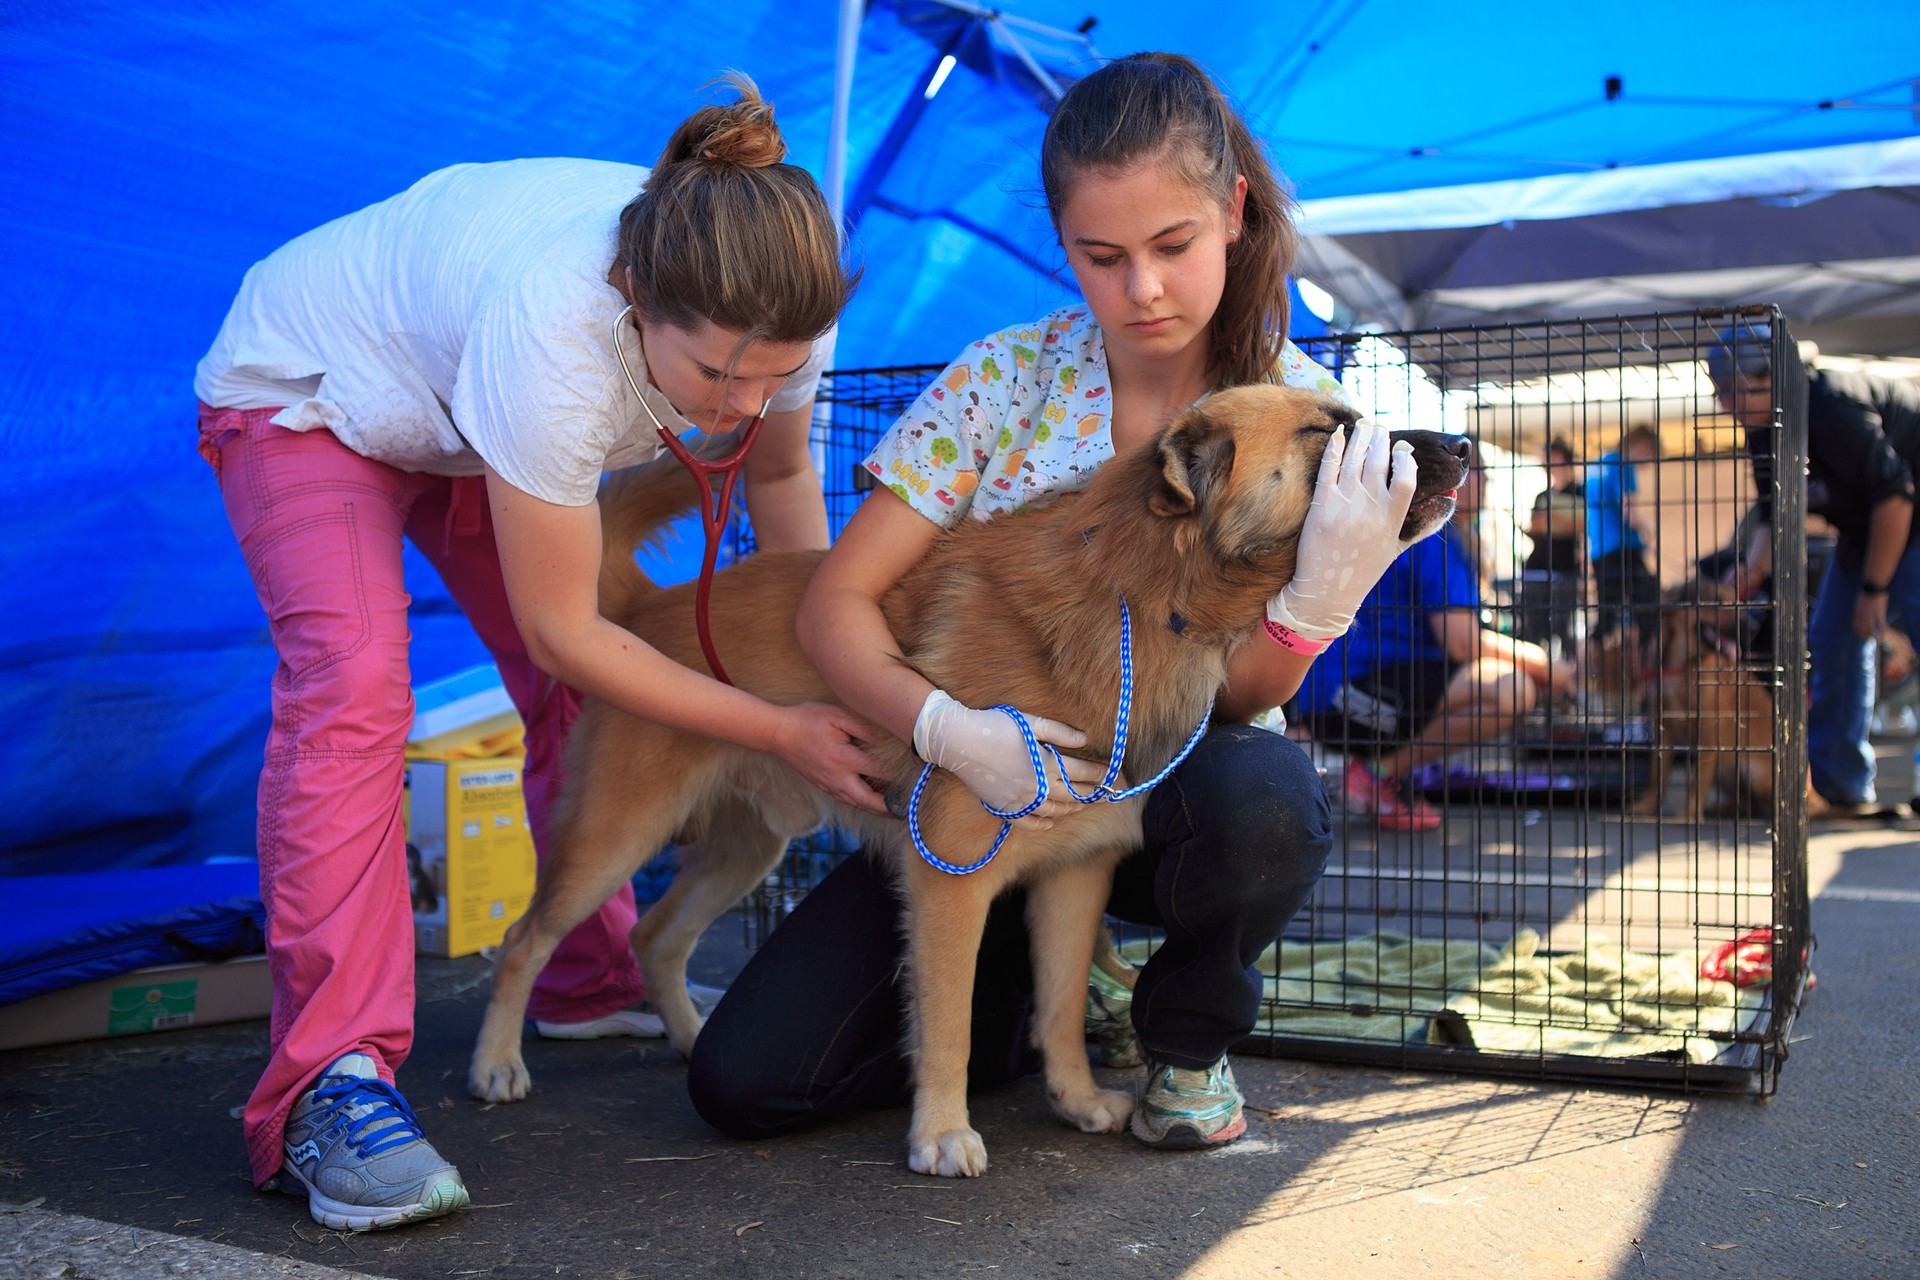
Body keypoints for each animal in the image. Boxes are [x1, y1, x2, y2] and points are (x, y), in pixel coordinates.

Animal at [468, 387, 1466, 1182]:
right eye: (1326, 432)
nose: (1463, 447)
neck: (1145, 595)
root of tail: (645, 609)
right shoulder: (951, 882)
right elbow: (946, 1022)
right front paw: (942, 1136)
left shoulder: (1075, 877)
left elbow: (1059, 1007)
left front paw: (1074, 1100)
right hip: (617, 835)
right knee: (525, 938)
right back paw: (497, 1065)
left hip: (747, 848)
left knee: (658, 936)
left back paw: (683, 1037)